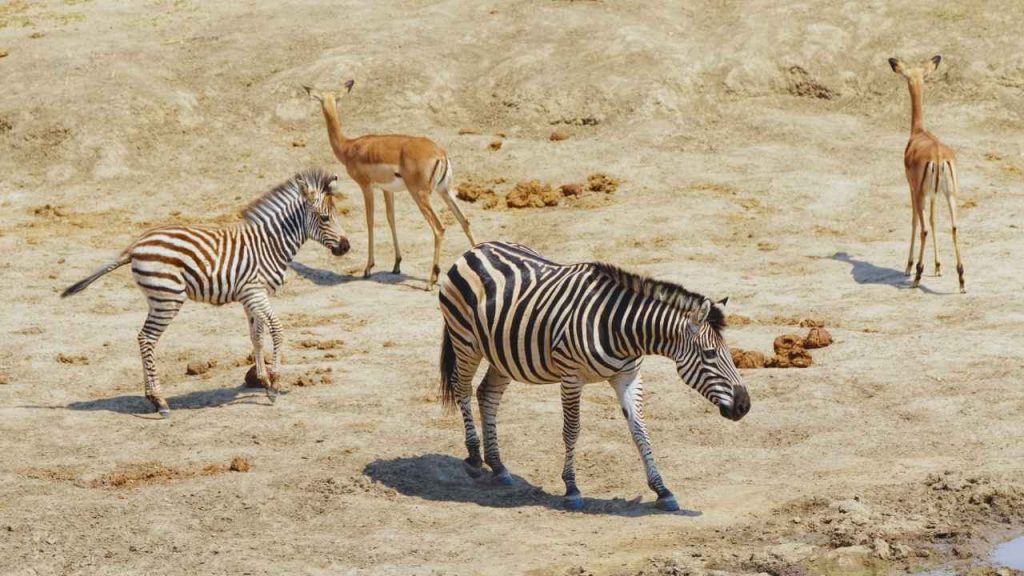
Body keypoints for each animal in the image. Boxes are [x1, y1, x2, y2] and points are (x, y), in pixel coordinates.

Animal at [61, 168, 351, 418]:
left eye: (336, 215)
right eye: (325, 218)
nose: (346, 247)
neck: (270, 244)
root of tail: (135, 245)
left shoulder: (250, 296)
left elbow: (256, 336)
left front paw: (263, 381)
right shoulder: (256, 292)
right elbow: (277, 331)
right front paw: (276, 384)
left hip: (158, 298)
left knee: (143, 338)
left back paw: (152, 398)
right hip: (168, 298)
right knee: (146, 338)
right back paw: (160, 401)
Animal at [438, 241, 750, 511]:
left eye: (729, 353)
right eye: (710, 354)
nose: (744, 405)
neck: (621, 329)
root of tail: (476, 248)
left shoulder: (628, 376)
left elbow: (640, 430)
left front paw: (662, 490)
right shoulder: (571, 377)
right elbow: (572, 430)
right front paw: (572, 488)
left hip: (504, 354)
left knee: (487, 394)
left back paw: (498, 466)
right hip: (465, 341)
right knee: (462, 388)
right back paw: (475, 457)